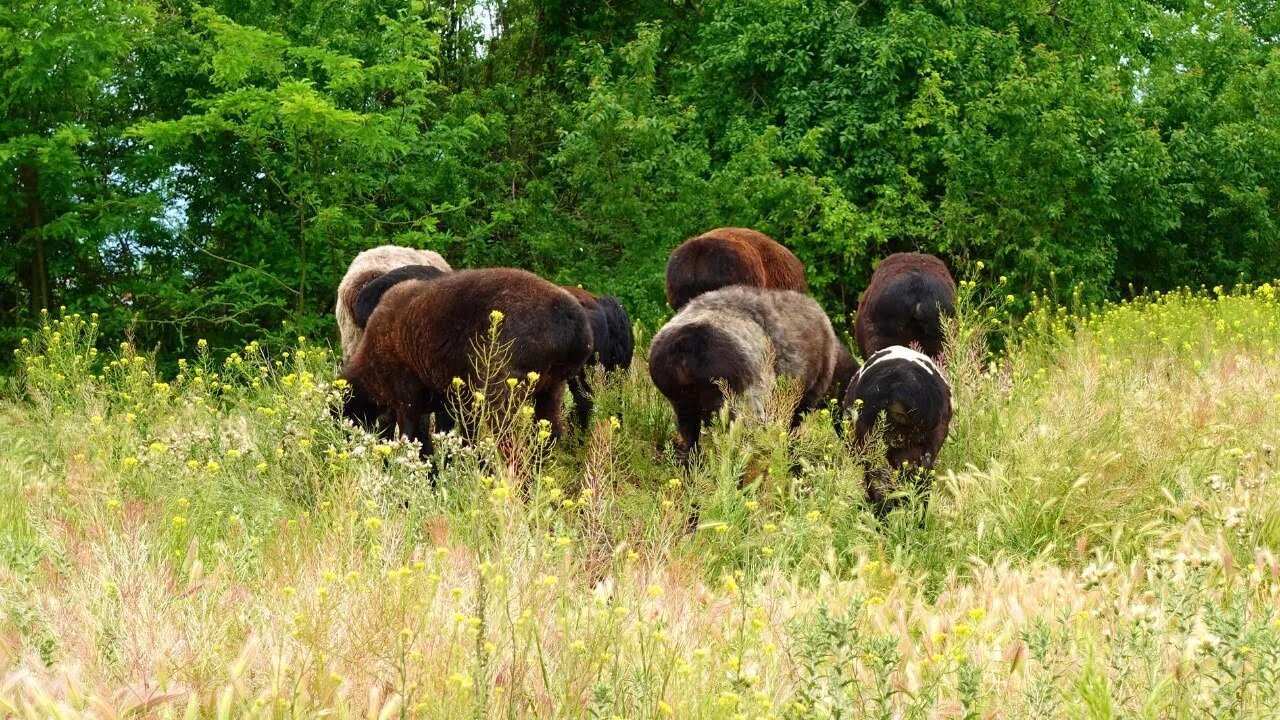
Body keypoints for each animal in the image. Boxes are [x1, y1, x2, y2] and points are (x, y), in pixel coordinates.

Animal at [343, 269, 596, 453]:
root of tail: (572, 324)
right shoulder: (457, 404)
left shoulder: (408, 398)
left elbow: (414, 438)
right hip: (551, 388)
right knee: (549, 436)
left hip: (503, 392)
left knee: (513, 446)